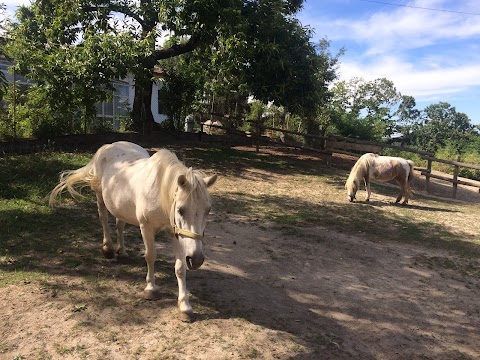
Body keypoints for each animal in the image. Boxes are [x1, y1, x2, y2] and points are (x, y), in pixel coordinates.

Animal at [47, 141, 217, 320]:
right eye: (181, 210)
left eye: (208, 210)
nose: (196, 259)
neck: (159, 193)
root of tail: (109, 146)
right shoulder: (146, 228)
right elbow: (150, 256)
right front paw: (150, 289)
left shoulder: (175, 232)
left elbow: (180, 267)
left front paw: (185, 307)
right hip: (100, 196)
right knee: (103, 219)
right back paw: (108, 249)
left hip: (120, 205)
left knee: (120, 225)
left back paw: (121, 251)